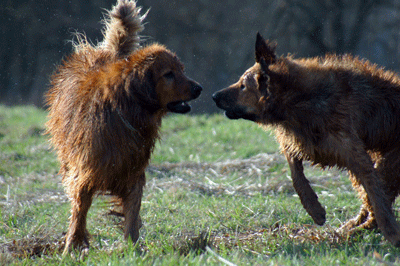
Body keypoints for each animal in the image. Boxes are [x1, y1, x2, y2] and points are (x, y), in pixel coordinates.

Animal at [45, 0, 202, 254]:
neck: (124, 108)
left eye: (182, 70)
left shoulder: (133, 173)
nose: (199, 89)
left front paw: (132, 248)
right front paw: (72, 246)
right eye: (168, 74)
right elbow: (79, 210)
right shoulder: (85, 171)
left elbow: (131, 214)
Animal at [214, 32, 400, 246]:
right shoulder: (298, 141)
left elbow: (376, 194)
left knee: (373, 203)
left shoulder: (353, 151)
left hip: (388, 165)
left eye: (243, 86)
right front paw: (314, 209)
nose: (213, 96)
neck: (299, 99)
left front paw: (391, 230)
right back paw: (350, 227)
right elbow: (295, 174)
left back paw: (355, 230)